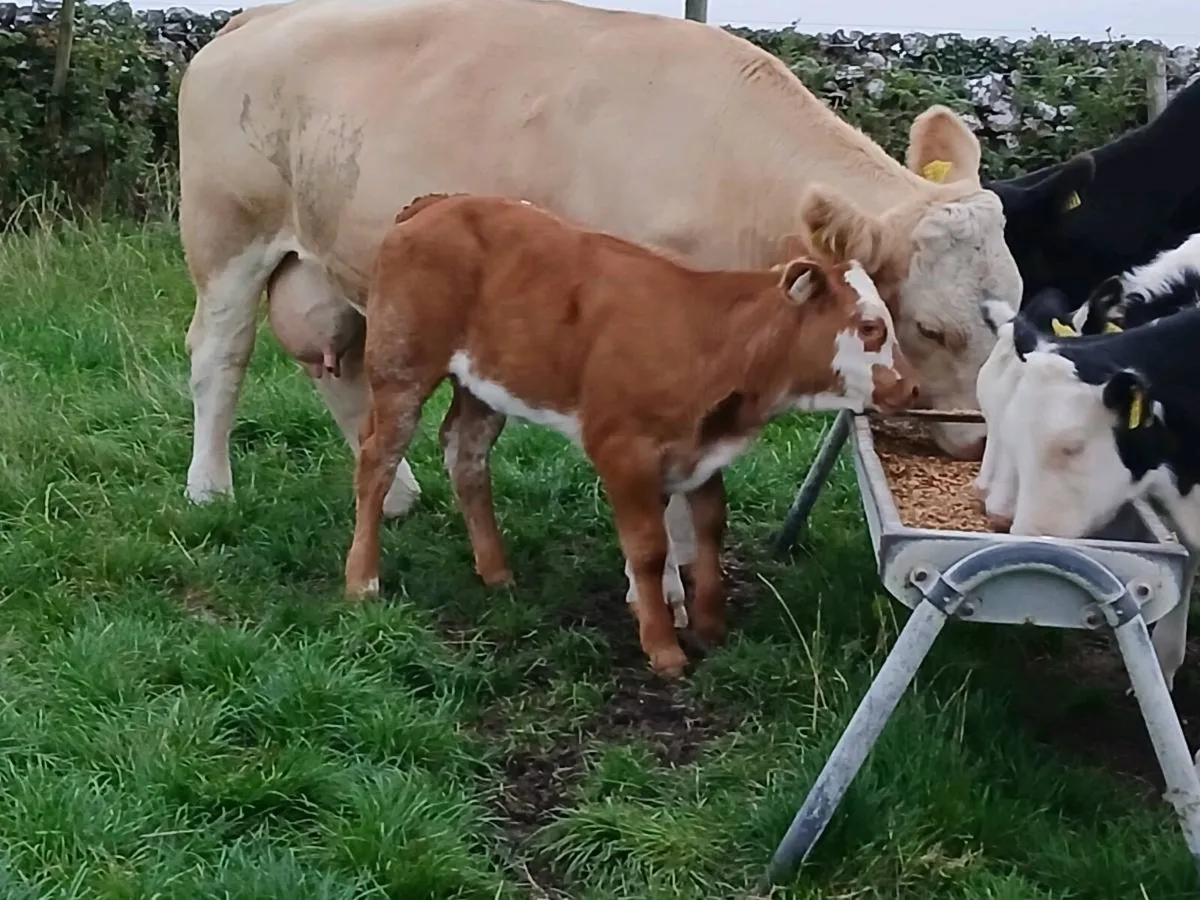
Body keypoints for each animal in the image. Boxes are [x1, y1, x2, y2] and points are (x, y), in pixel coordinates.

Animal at [178, 0, 1020, 619]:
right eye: (930, 328)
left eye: (1013, 310)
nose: (981, 443)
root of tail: (256, 15)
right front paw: (665, 587)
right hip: (226, 238)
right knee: (220, 358)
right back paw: (209, 489)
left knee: (340, 371)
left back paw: (402, 499)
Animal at [343, 193, 920, 677]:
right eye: (870, 327)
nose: (912, 386)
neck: (709, 340)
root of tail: (438, 202)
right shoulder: (623, 450)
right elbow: (648, 548)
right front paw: (663, 646)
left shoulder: (699, 455)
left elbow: (708, 528)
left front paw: (708, 623)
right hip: (400, 368)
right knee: (378, 460)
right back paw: (362, 581)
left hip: (483, 385)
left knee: (466, 453)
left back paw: (496, 571)